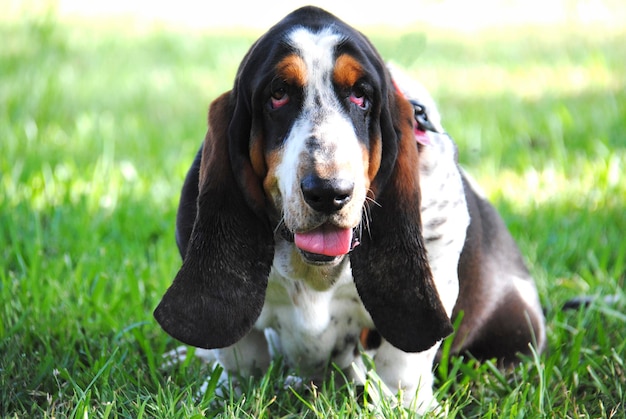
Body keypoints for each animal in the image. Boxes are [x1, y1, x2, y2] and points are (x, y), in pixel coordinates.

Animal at [154, 6, 544, 414]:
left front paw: (408, 406)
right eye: (278, 94)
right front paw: (225, 390)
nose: (329, 193)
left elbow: (402, 362)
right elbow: (241, 354)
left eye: (361, 95)